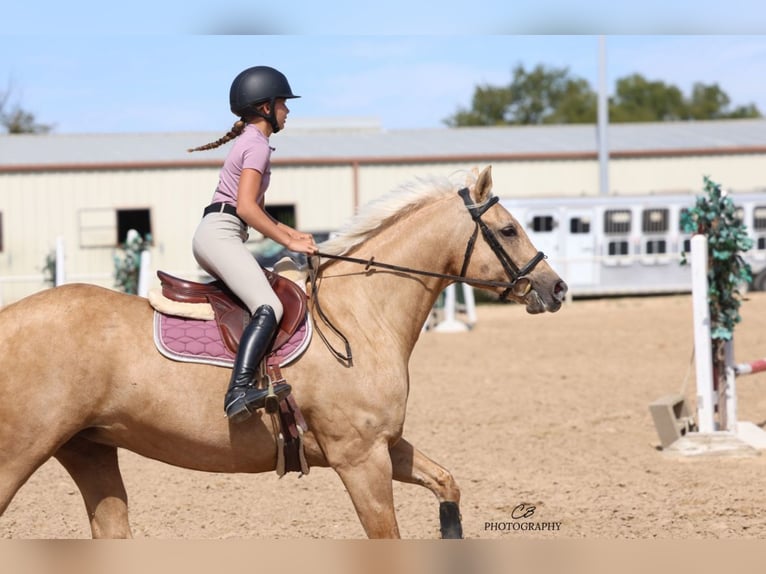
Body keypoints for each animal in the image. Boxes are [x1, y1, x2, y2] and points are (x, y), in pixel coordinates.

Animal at [0, 165, 567, 538]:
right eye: (509, 229)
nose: (556, 288)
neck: (361, 315)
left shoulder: (385, 446)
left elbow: (447, 485)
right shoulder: (360, 459)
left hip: (89, 449)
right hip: (20, 453)